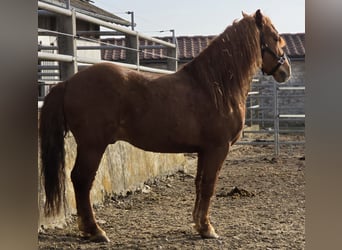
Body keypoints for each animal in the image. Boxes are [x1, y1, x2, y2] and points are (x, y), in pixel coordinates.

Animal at [39, 9, 292, 242]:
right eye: (276, 37)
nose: (286, 70)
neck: (214, 87)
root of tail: (68, 82)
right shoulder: (217, 148)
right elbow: (209, 185)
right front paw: (208, 229)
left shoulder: (204, 150)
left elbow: (200, 184)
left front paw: (199, 224)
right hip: (92, 145)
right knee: (82, 180)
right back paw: (95, 231)